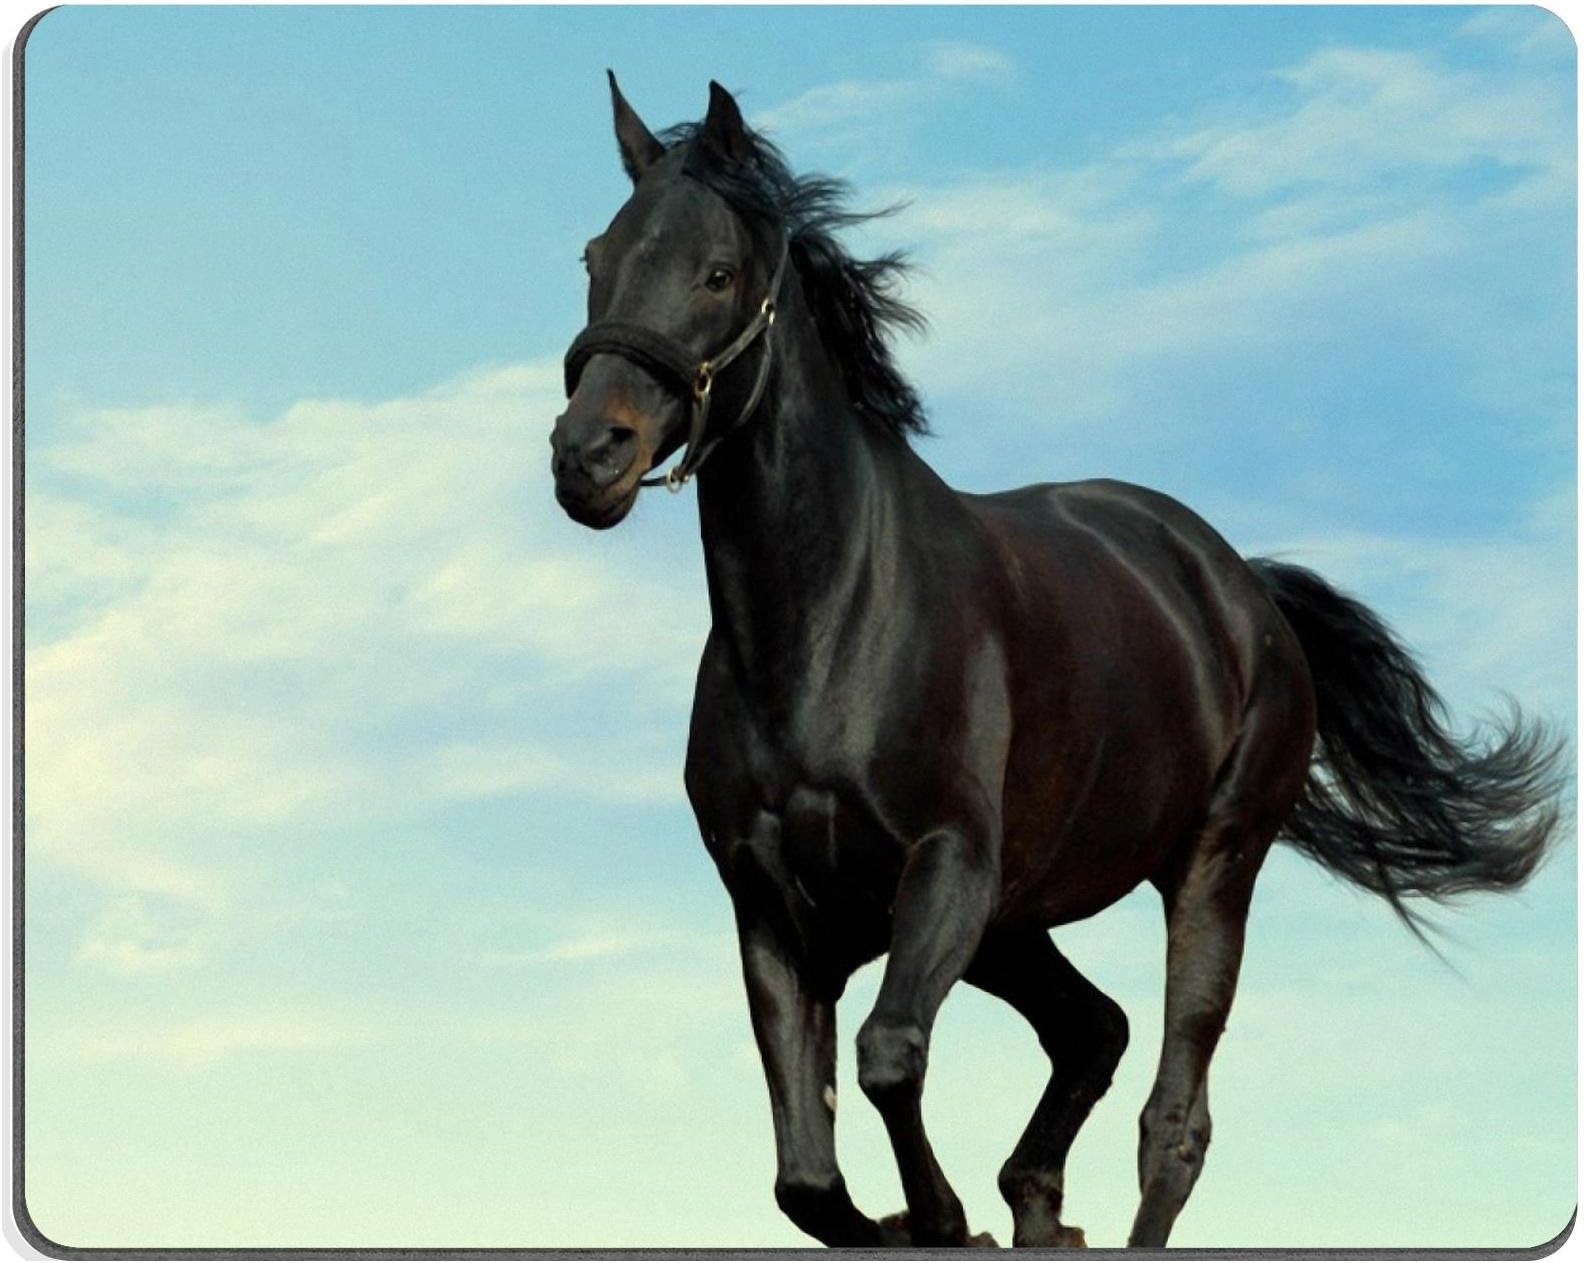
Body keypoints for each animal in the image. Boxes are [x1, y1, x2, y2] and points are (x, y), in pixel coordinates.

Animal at [549, 76, 1564, 1248]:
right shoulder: (771, 907)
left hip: (1208, 866)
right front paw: (924, 1221)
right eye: (596, 257)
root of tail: (1240, 587)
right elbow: (806, 1177)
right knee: (1093, 1031)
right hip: (1016, 924)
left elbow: (888, 1058)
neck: (829, 626)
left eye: (717, 272)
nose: (587, 456)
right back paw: (1035, 1205)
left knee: (1171, 1117)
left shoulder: (945, 868)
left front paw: (941, 1220)